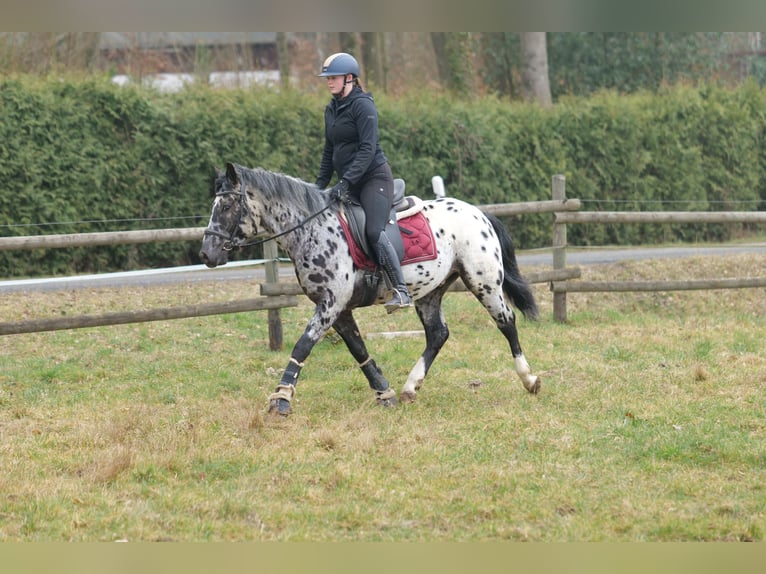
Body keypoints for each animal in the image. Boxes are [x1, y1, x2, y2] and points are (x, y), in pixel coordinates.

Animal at [201, 163, 544, 418]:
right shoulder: (339, 309)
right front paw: (385, 392)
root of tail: (479, 213)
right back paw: (409, 388)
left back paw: (529, 379)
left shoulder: (330, 304)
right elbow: (358, 349)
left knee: (506, 322)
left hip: (483, 281)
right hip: (431, 291)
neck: (311, 229)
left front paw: (282, 399)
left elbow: (302, 346)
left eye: (227, 205)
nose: (207, 254)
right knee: (438, 334)